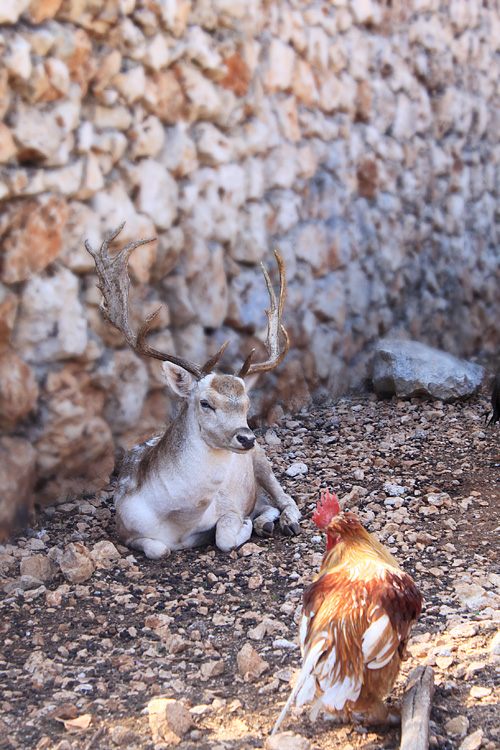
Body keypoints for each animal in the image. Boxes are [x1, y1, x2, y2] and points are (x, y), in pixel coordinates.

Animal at [86, 223, 300, 560]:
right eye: (205, 403)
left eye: (246, 403)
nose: (246, 437)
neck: (178, 519)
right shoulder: (124, 524)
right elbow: (158, 549)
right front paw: (252, 525)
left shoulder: (229, 505)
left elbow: (225, 536)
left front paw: (245, 527)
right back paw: (266, 521)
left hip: (262, 460)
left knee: (284, 498)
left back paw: (282, 520)